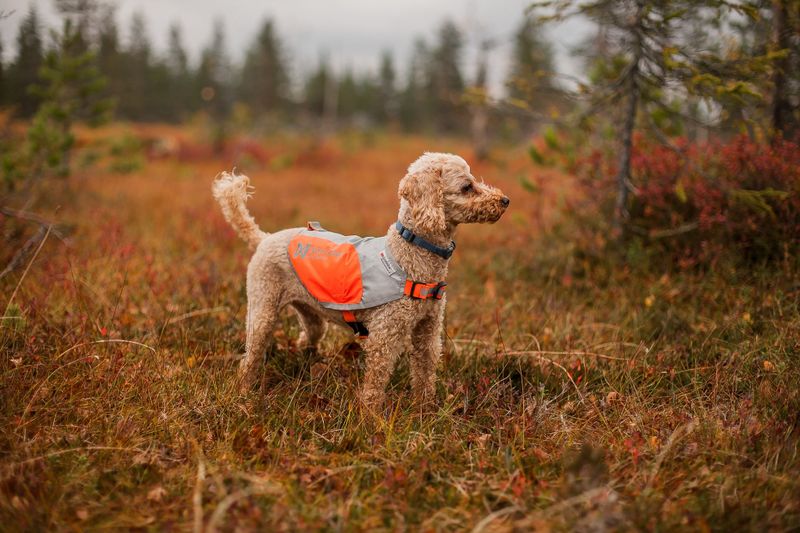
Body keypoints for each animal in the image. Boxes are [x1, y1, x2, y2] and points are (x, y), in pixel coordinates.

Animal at [214, 152, 506, 410]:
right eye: (467, 186)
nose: (505, 200)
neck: (409, 254)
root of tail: (263, 238)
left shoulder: (428, 329)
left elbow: (424, 373)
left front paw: (425, 410)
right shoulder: (384, 337)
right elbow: (375, 384)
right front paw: (371, 417)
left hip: (311, 316)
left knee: (306, 338)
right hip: (262, 310)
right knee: (249, 359)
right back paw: (245, 393)